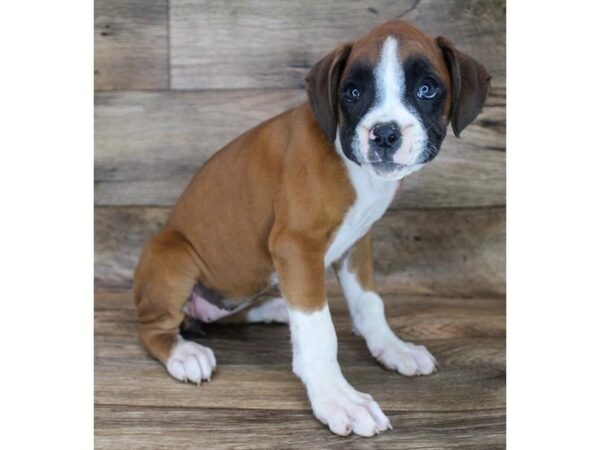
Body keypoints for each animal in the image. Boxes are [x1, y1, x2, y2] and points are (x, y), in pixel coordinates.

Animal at [134, 20, 490, 436]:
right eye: (352, 92)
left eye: (427, 88)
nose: (385, 134)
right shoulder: (296, 247)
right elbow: (320, 333)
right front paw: (338, 398)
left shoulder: (357, 244)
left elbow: (369, 303)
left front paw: (392, 347)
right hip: (173, 253)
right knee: (154, 327)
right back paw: (184, 353)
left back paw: (274, 309)